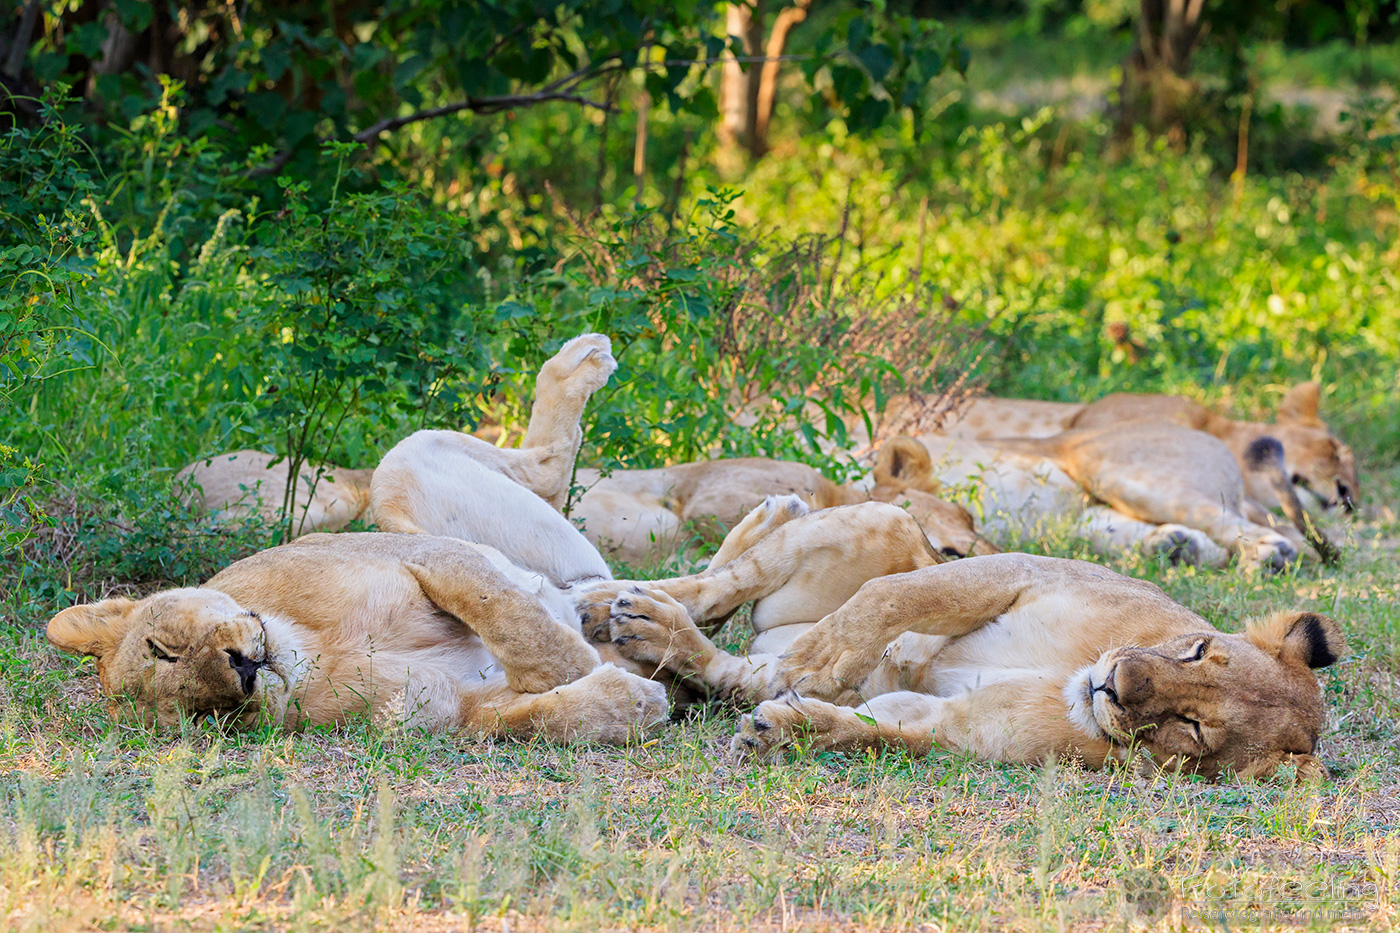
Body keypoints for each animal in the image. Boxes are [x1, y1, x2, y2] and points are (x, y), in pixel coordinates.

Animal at [582, 498, 1347, 781]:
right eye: (1196, 651)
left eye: (1192, 729)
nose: (1116, 682)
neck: (1068, 678)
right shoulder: (1019, 570)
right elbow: (896, 598)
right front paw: (825, 661)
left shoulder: (954, 727)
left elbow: (872, 729)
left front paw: (783, 729)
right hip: (882, 519)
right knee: (723, 583)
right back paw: (609, 603)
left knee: (727, 663)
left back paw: (647, 629)